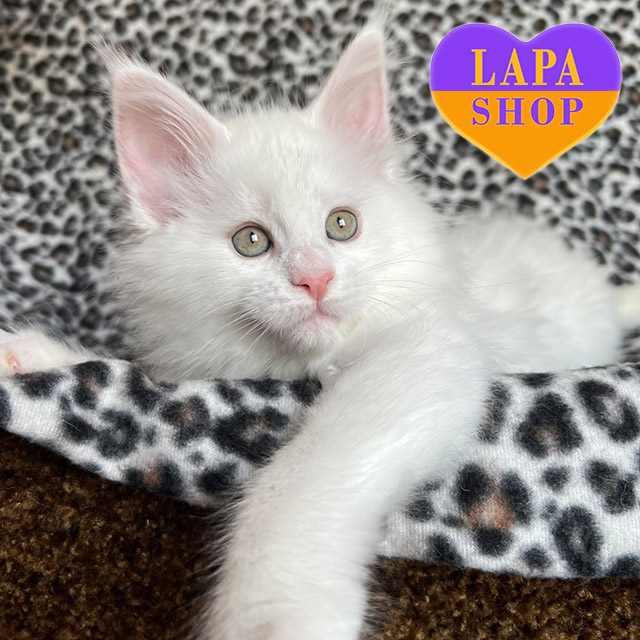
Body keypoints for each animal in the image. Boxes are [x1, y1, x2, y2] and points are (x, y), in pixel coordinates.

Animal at [0, 24, 634, 640]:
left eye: (342, 225)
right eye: (251, 240)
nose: (316, 279)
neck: (290, 364)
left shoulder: (426, 348)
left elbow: (304, 477)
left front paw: (276, 613)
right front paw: (29, 354)